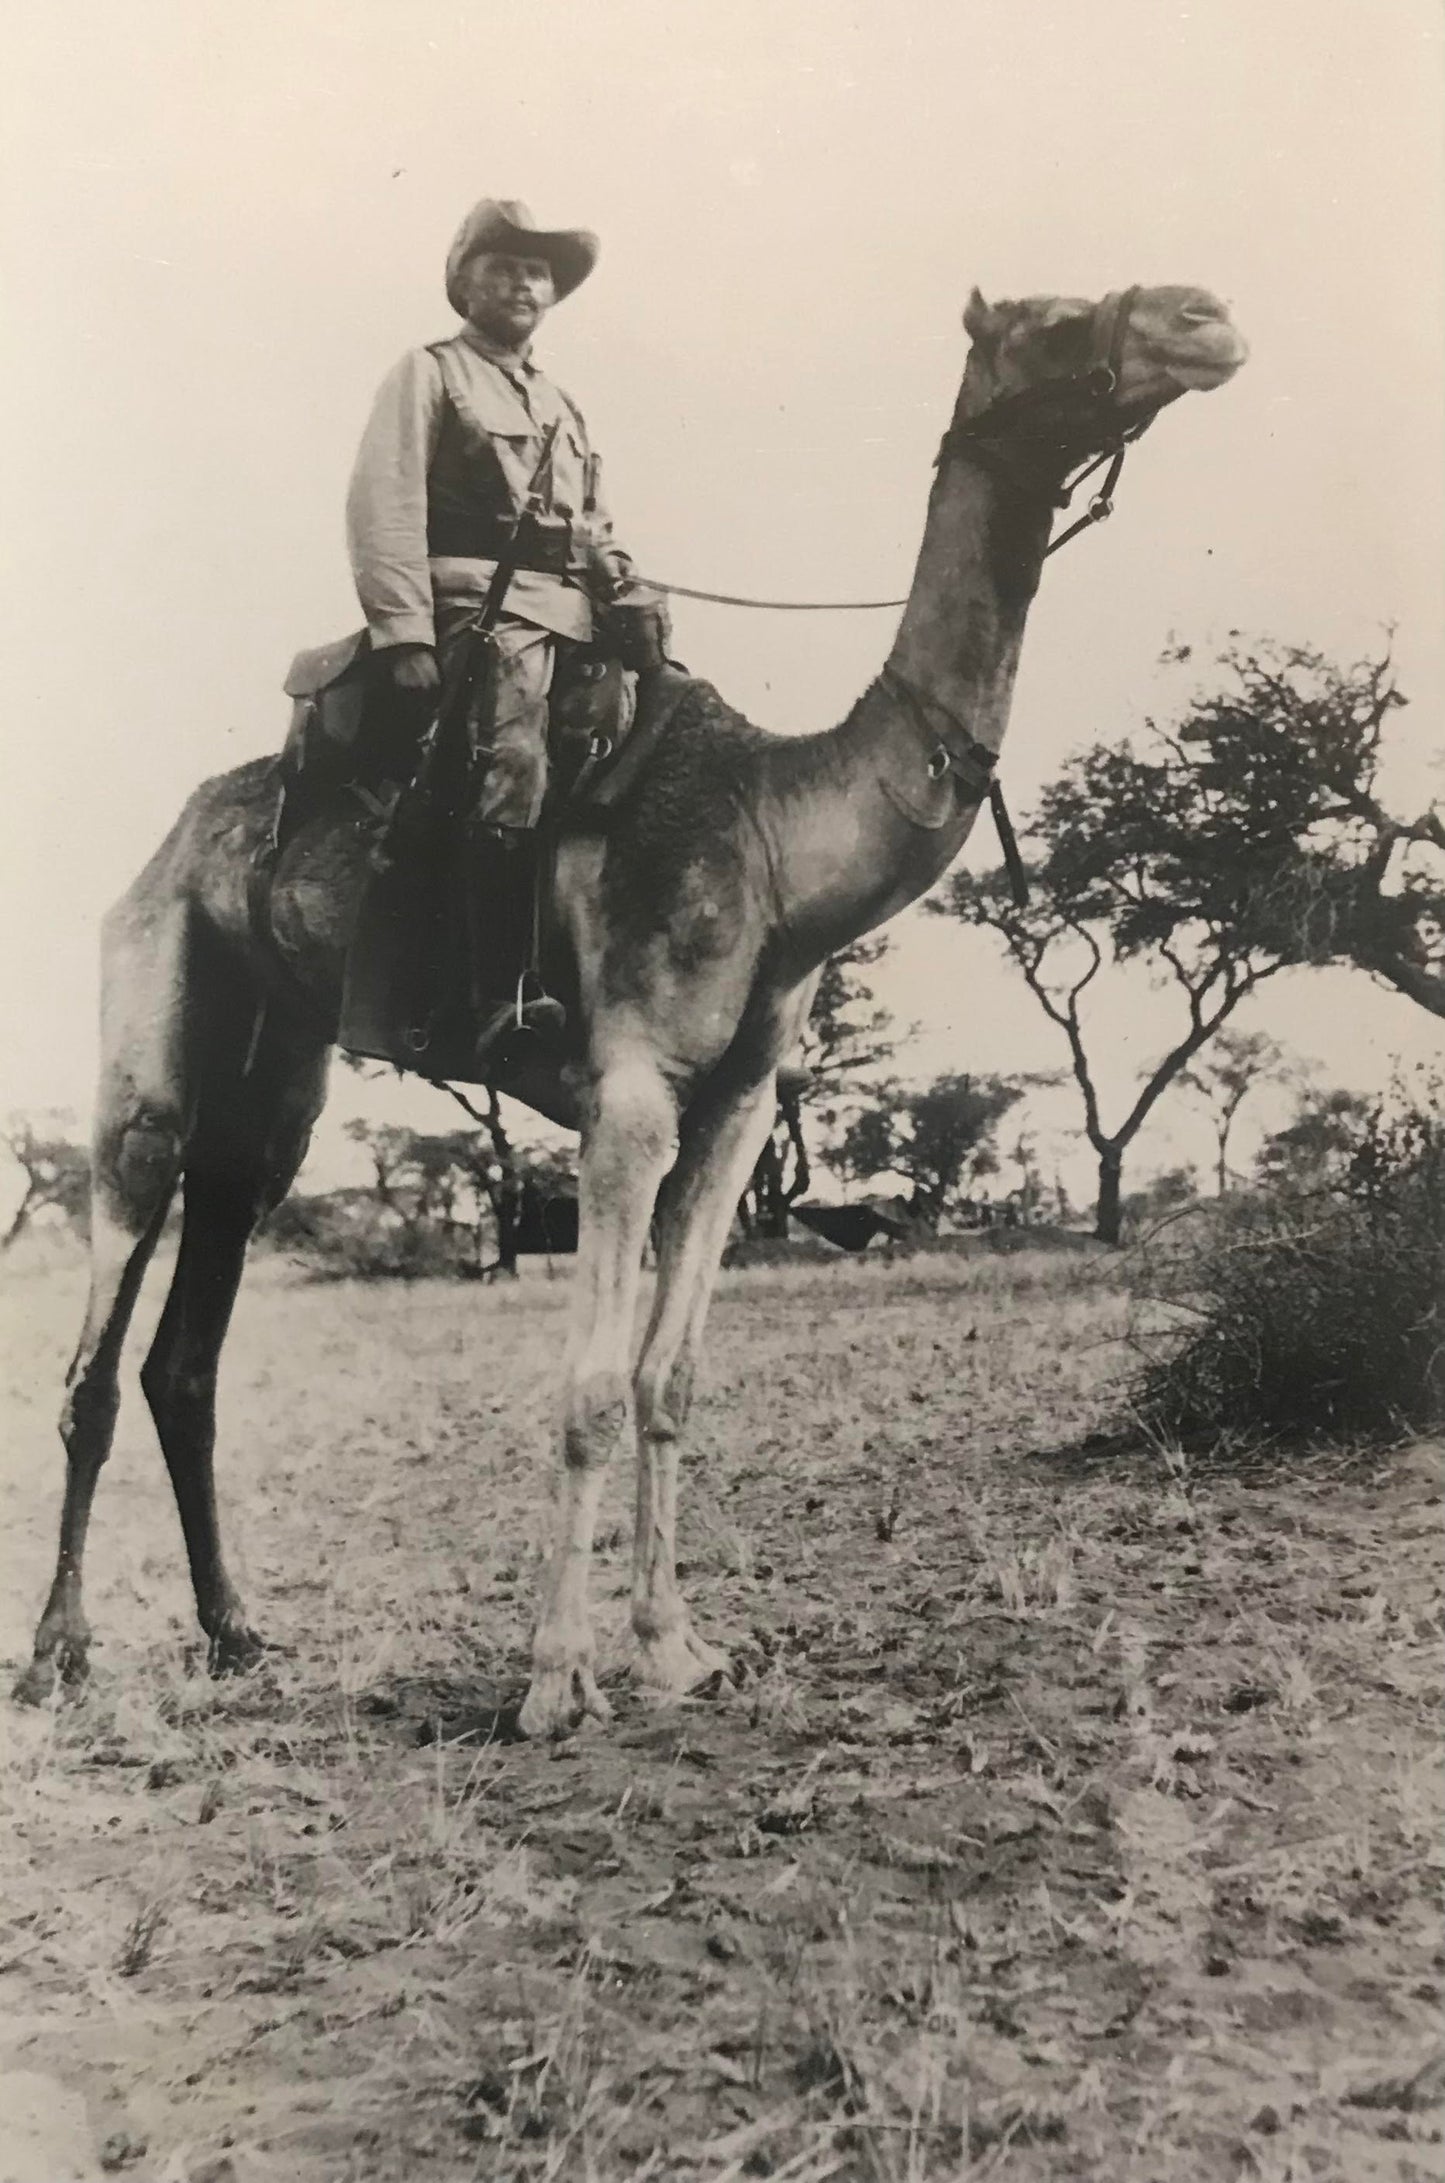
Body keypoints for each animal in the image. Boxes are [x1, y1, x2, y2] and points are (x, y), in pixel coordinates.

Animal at [15, 281, 1247, 1735]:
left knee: (188, 1348)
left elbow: (670, 1378)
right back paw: (58, 1652)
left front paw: (672, 1647)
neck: (779, 843)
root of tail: (176, 839)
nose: (1203, 316)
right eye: (1053, 319)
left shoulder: (737, 1111)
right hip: (153, 1013)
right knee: (99, 1341)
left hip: (273, 1087)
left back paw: (237, 1632)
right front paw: (556, 1677)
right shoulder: (631, 1095)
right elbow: (591, 1390)